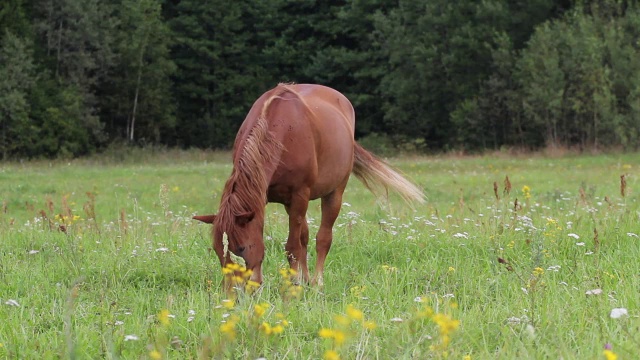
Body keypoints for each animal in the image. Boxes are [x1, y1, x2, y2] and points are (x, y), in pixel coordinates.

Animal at [195, 83, 424, 286]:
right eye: (218, 250)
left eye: (241, 248)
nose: (235, 292)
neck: (278, 131)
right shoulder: (268, 197)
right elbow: (297, 241)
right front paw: (297, 279)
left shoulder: (300, 195)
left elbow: (292, 246)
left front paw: (294, 281)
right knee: (304, 237)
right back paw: (306, 278)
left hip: (334, 193)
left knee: (323, 238)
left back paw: (316, 282)